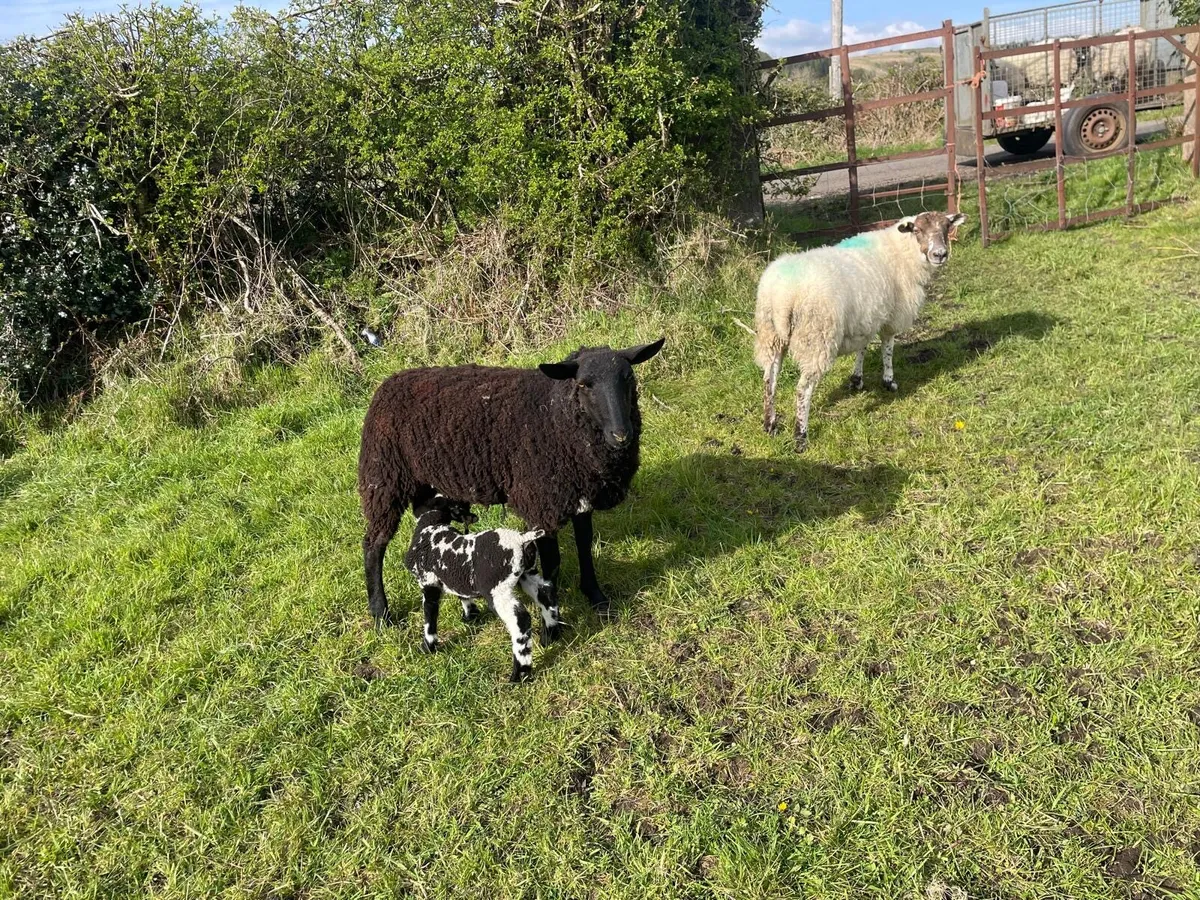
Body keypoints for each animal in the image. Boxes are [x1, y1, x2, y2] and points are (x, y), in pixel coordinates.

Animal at [358, 338, 666, 630]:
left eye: (628, 377)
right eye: (583, 384)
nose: (621, 435)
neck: (553, 413)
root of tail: (388, 382)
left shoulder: (580, 496)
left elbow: (584, 547)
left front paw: (596, 598)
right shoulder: (542, 503)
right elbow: (552, 563)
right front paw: (552, 618)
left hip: (425, 487)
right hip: (383, 478)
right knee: (373, 544)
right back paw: (380, 613)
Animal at [404, 494, 553, 682]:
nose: (473, 517)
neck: (430, 524)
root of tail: (521, 539)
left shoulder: (428, 582)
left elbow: (429, 617)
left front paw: (427, 648)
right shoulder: (456, 577)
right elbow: (463, 595)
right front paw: (471, 616)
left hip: (497, 590)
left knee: (520, 621)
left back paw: (519, 673)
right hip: (527, 573)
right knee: (545, 593)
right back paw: (550, 634)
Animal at [754, 211, 966, 452]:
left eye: (946, 227)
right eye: (918, 230)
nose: (940, 254)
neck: (901, 251)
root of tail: (783, 296)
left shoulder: (865, 317)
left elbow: (862, 348)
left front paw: (857, 379)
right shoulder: (892, 315)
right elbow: (887, 347)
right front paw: (888, 381)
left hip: (770, 336)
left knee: (769, 379)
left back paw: (770, 424)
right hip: (816, 338)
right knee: (802, 389)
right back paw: (801, 436)